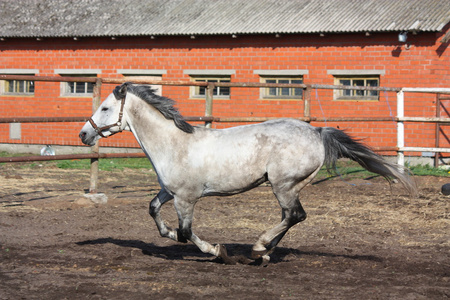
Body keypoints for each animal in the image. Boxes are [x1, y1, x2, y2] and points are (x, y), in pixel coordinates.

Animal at [79, 82, 416, 262]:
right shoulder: (168, 192)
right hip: (288, 187)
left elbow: (187, 232)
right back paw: (263, 252)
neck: (174, 143)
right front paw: (170, 234)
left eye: (105, 108)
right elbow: (153, 210)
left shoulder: (186, 199)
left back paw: (258, 247)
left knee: (295, 215)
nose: (84, 134)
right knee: (291, 217)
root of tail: (317, 132)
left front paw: (216, 250)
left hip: (284, 185)